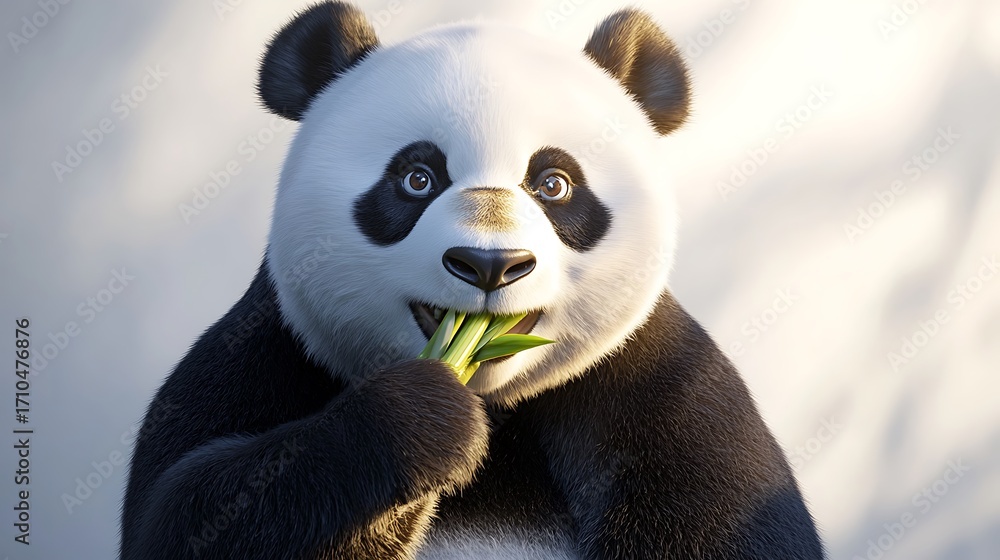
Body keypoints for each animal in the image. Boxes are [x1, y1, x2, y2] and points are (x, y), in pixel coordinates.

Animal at [120, 2, 825, 559]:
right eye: (417, 178)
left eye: (554, 184)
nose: (490, 265)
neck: (495, 407)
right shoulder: (271, 349)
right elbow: (185, 510)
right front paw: (423, 416)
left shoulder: (657, 386)